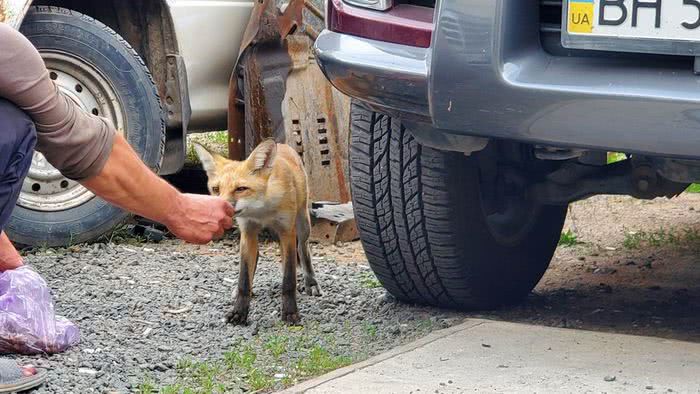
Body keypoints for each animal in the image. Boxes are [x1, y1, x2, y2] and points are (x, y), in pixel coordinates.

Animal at [193, 140, 322, 324]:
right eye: (216, 189)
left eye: (241, 189)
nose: (219, 208)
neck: (261, 210)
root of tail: (282, 144)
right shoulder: (248, 231)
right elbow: (244, 279)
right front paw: (239, 312)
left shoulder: (287, 232)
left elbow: (288, 279)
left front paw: (290, 312)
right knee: (258, 256)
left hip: (303, 224)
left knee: (303, 250)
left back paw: (310, 282)